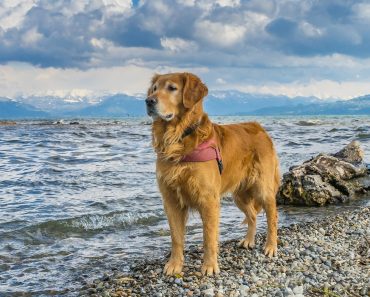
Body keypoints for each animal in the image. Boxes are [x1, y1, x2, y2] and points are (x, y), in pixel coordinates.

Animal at [146, 71, 278, 276]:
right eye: (154, 89)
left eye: (172, 88)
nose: (148, 101)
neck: (180, 136)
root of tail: (260, 129)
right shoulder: (171, 200)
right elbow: (176, 237)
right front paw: (174, 264)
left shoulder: (208, 199)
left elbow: (209, 237)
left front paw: (209, 266)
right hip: (239, 195)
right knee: (252, 216)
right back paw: (249, 240)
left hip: (262, 187)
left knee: (272, 216)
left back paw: (271, 246)